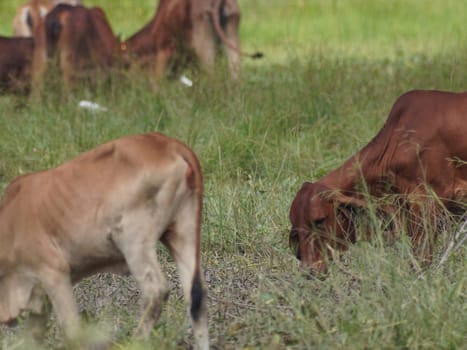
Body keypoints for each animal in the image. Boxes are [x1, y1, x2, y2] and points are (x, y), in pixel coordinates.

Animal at [0, 132, 209, 350]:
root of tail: (168, 143)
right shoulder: (40, 296)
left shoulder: (53, 272)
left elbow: (71, 329)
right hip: (183, 231)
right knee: (197, 297)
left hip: (133, 240)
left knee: (156, 290)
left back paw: (135, 341)